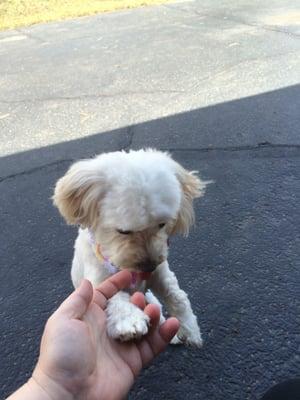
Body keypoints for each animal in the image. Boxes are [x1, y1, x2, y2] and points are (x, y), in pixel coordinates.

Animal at [53, 148, 206, 346]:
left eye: (162, 224)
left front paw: (189, 328)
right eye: (123, 231)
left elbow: (176, 295)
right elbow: (113, 296)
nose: (149, 266)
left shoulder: (161, 273)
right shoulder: (99, 280)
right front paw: (129, 321)